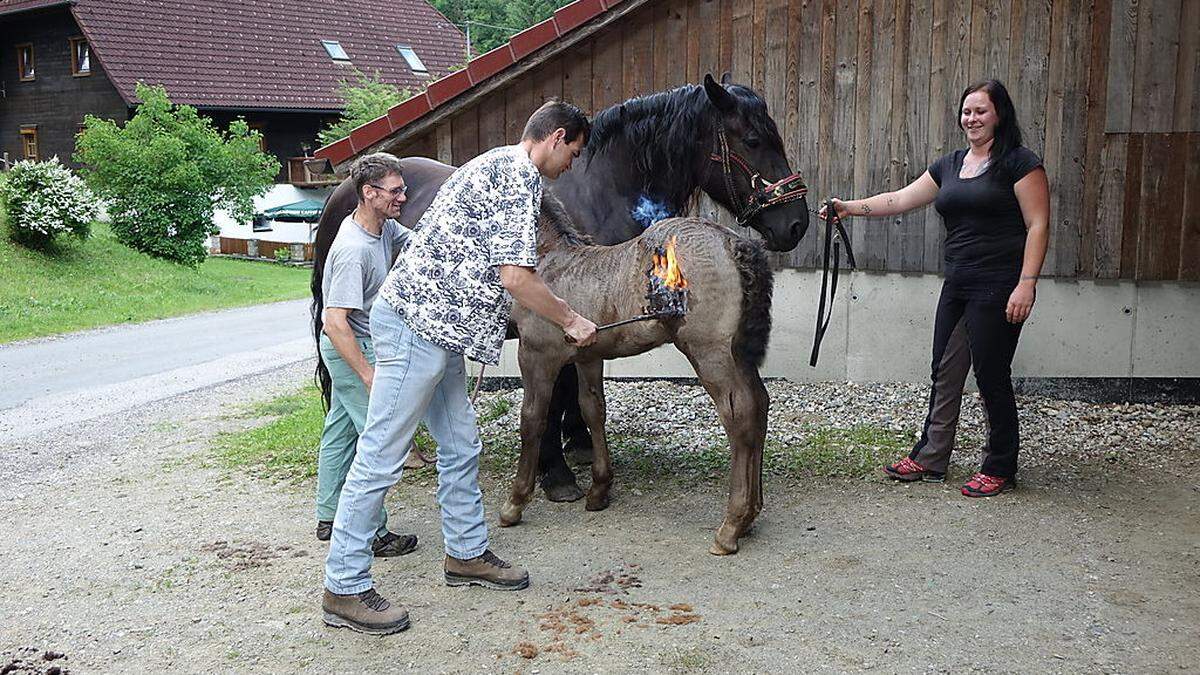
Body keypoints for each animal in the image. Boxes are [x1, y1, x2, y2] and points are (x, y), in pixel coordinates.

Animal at [314, 76, 811, 499]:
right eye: (752, 140)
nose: (796, 224)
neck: (603, 190)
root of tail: (342, 191)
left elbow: (577, 392)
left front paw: (580, 445)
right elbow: (553, 398)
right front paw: (555, 472)